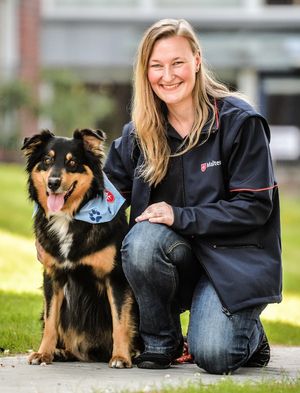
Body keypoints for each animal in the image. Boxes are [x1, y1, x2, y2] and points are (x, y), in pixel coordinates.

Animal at [22, 129, 139, 368]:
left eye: (72, 163)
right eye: (47, 160)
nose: (53, 183)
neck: (69, 217)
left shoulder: (116, 277)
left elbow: (120, 322)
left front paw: (121, 356)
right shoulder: (53, 276)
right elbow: (51, 321)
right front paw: (43, 353)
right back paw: (62, 351)